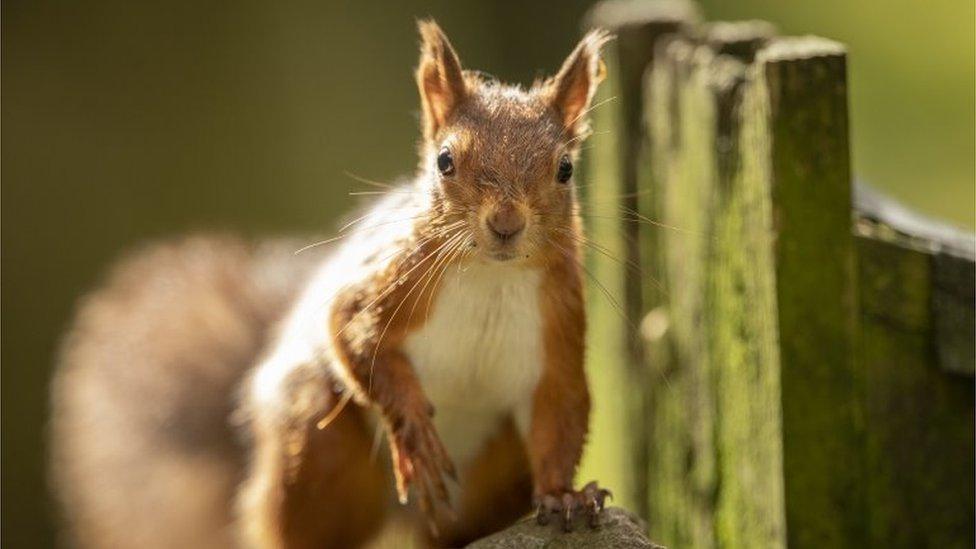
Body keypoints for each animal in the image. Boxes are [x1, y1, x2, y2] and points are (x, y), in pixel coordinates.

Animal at [51, 20, 608, 548]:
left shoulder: (559, 331)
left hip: (496, 464)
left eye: (565, 169)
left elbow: (561, 415)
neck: (491, 276)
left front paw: (564, 497)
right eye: (445, 161)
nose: (506, 224)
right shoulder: (388, 281)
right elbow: (352, 333)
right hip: (320, 445)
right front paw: (413, 428)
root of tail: (404, 514)